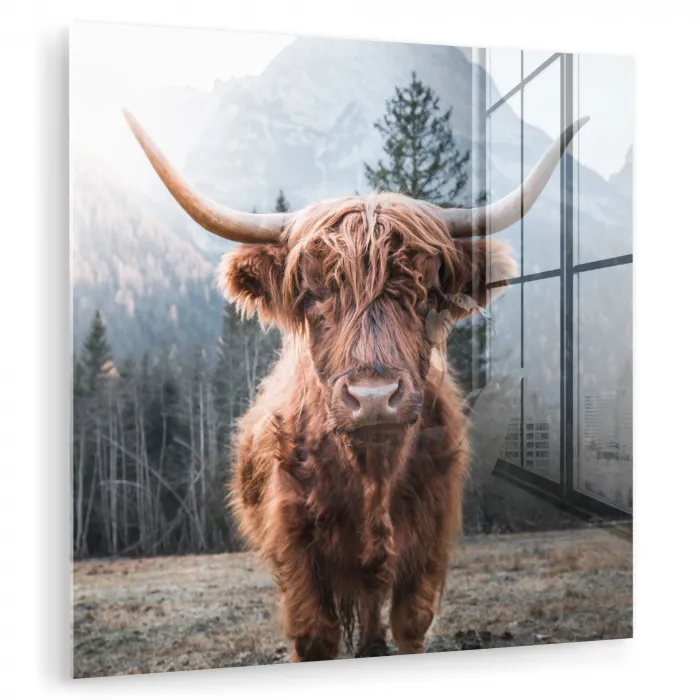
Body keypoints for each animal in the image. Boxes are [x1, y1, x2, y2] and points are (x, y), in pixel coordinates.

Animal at [124, 109, 587, 662]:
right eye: (311, 294)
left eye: (427, 293)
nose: (373, 399)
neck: (372, 472)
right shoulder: (296, 552)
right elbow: (315, 637)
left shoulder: (428, 544)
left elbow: (410, 624)